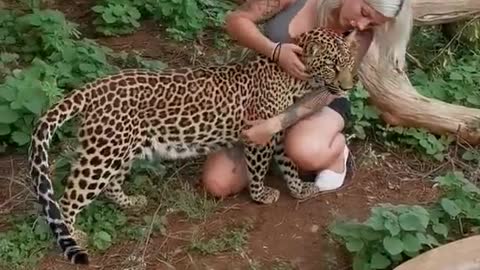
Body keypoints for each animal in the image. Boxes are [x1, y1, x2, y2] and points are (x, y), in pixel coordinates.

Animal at [26, 26, 356, 264]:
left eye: (350, 64)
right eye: (332, 65)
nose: (349, 86)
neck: (297, 80)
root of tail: (92, 88)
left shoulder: (275, 131)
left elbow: (288, 162)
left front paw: (299, 189)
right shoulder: (258, 132)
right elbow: (259, 168)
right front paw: (261, 195)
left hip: (119, 149)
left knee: (110, 184)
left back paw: (131, 202)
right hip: (103, 154)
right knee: (69, 198)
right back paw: (76, 234)